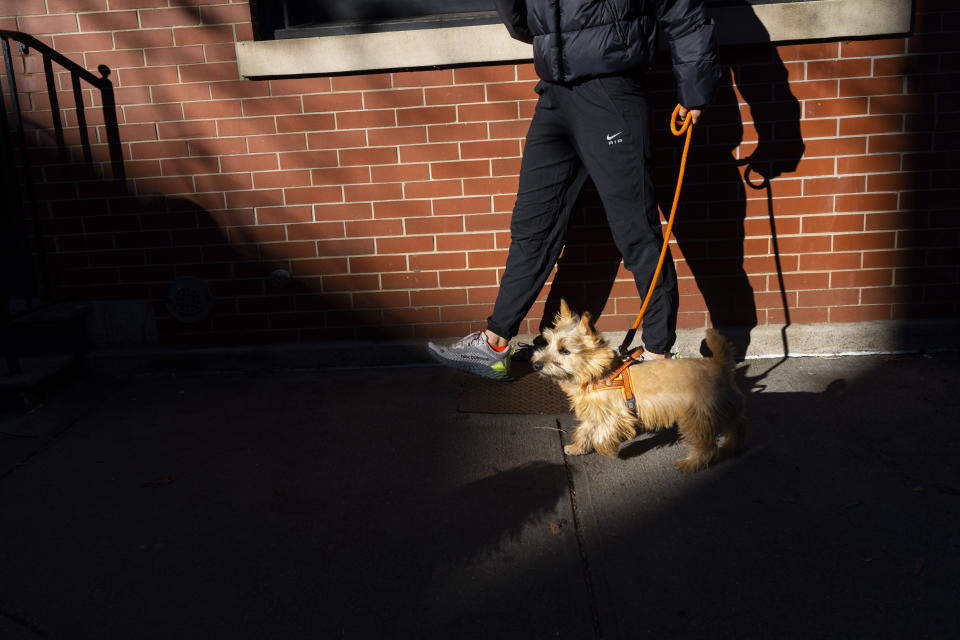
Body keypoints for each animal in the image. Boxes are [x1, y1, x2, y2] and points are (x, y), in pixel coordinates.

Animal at [528, 302, 748, 476]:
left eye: (564, 350)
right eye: (547, 343)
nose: (536, 364)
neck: (599, 373)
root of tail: (720, 364)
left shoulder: (615, 415)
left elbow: (601, 434)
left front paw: (606, 449)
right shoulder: (595, 413)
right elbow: (585, 430)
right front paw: (576, 447)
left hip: (696, 416)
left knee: (706, 446)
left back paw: (690, 464)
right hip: (724, 407)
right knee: (735, 426)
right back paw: (731, 446)